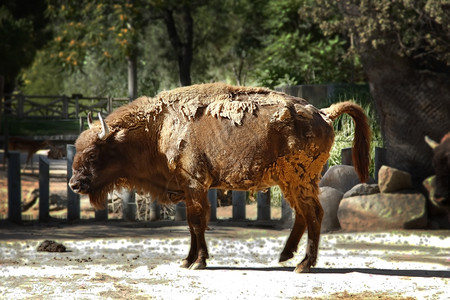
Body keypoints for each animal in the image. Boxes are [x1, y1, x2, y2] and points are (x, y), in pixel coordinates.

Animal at [67, 82, 370, 272]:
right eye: (78, 150)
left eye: (93, 153)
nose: (74, 184)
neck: (158, 128)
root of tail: (324, 113)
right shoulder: (189, 190)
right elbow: (192, 225)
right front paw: (187, 260)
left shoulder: (195, 185)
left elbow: (198, 223)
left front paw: (198, 262)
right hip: (289, 182)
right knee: (302, 215)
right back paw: (286, 256)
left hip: (300, 179)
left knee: (314, 214)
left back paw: (304, 265)